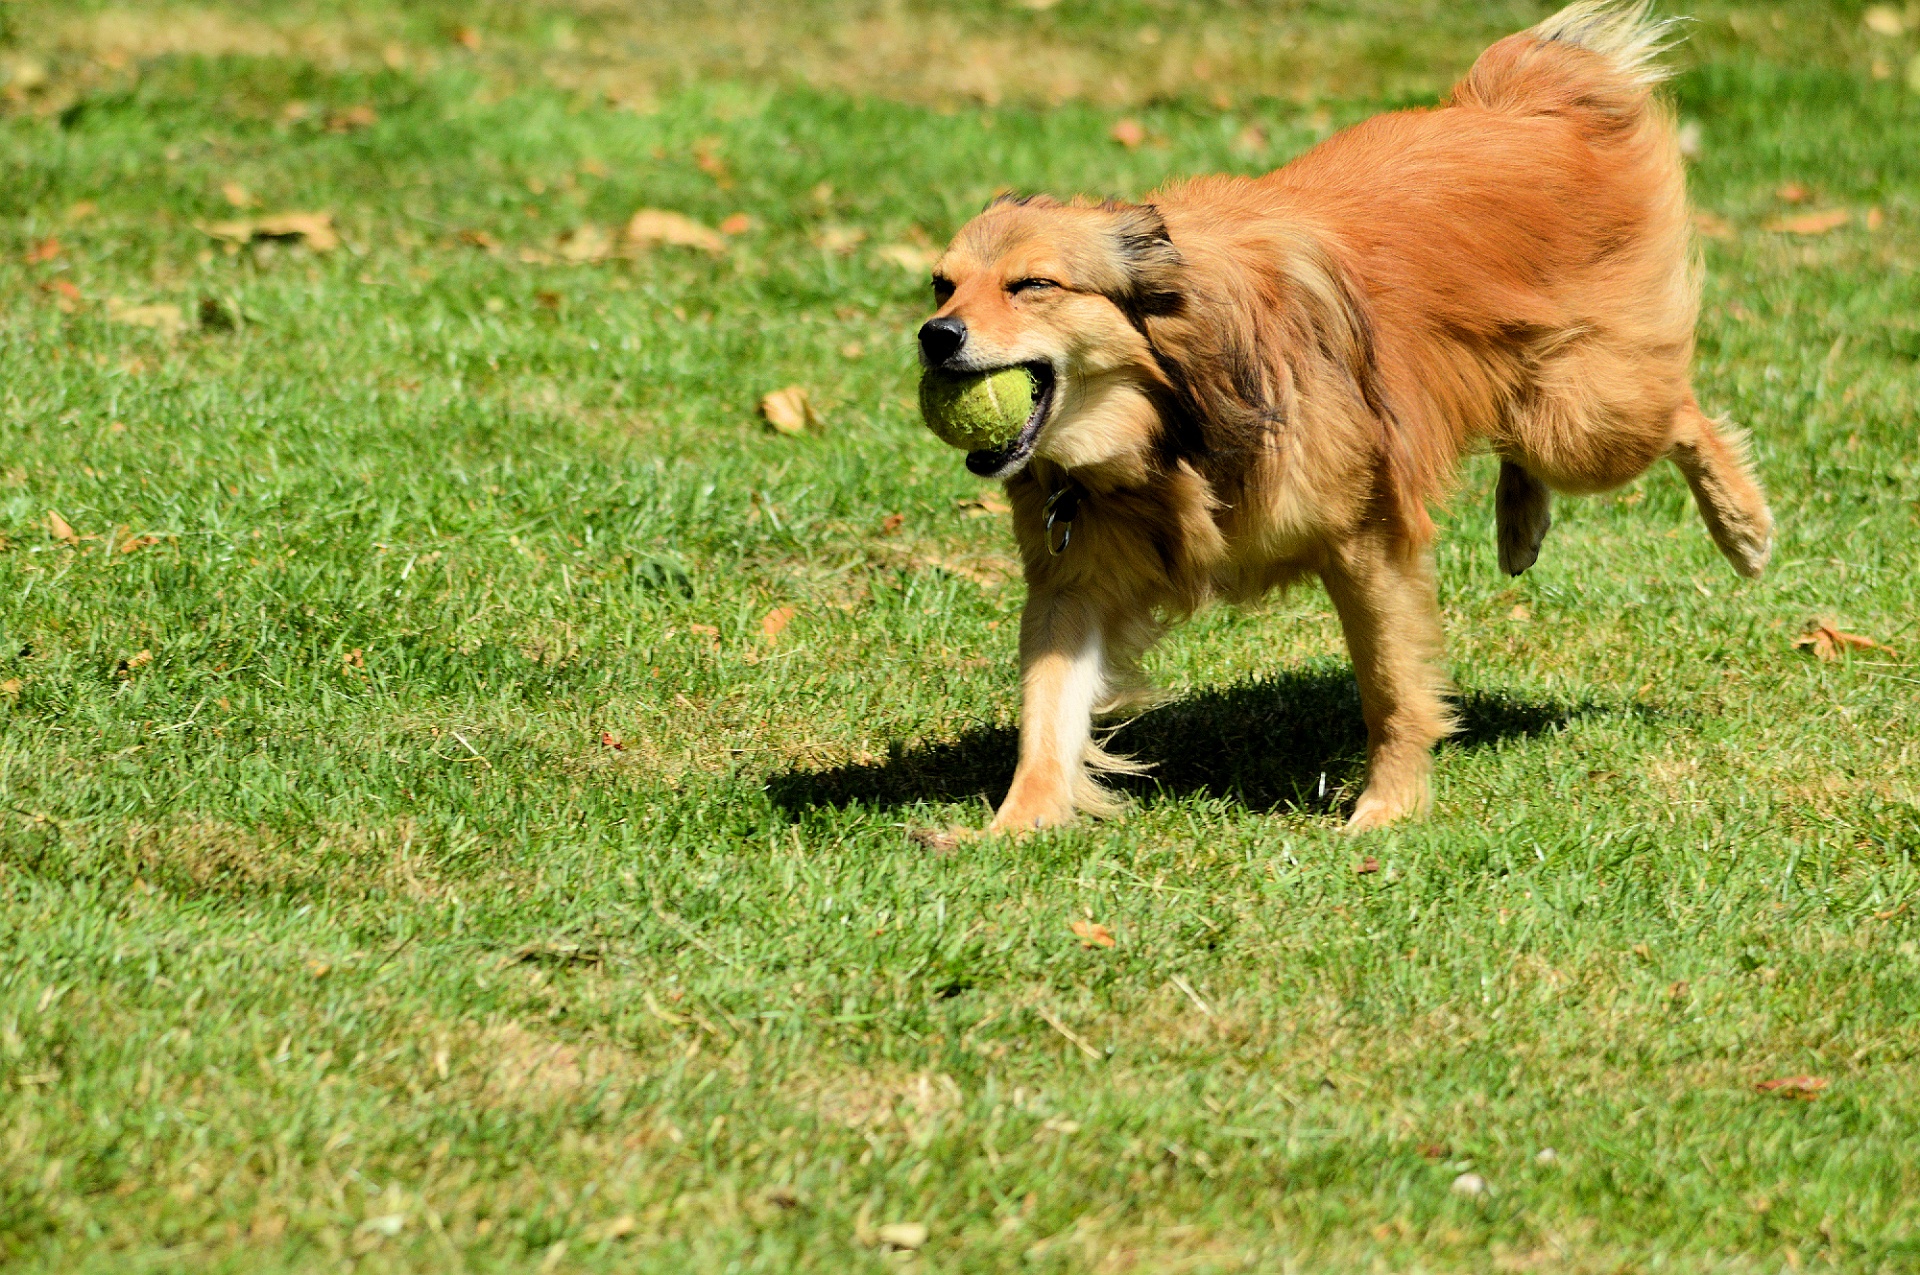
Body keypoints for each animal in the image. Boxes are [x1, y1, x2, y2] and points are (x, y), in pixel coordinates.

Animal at [913, 2, 1766, 837]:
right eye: (941, 285)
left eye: (1033, 285)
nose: (934, 336)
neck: (1167, 418)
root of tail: (1518, 101)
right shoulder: (1077, 574)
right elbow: (1047, 711)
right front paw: (1015, 825)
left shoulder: (1365, 538)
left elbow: (1390, 687)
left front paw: (1390, 805)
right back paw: (1521, 522)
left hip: (1581, 418)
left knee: (1680, 411)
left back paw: (1742, 524)